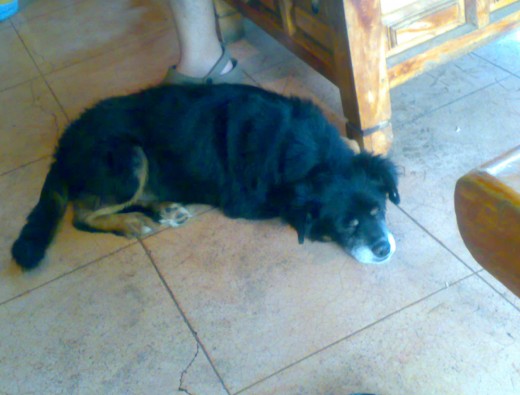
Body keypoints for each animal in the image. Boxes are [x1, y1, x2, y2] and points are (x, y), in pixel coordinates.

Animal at [13, 83, 402, 270]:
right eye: (346, 224)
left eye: (379, 210)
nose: (383, 249)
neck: (307, 151)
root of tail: (63, 144)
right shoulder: (253, 203)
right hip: (129, 157)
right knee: (83, 213)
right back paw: (132, 222)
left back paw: (165, 208)